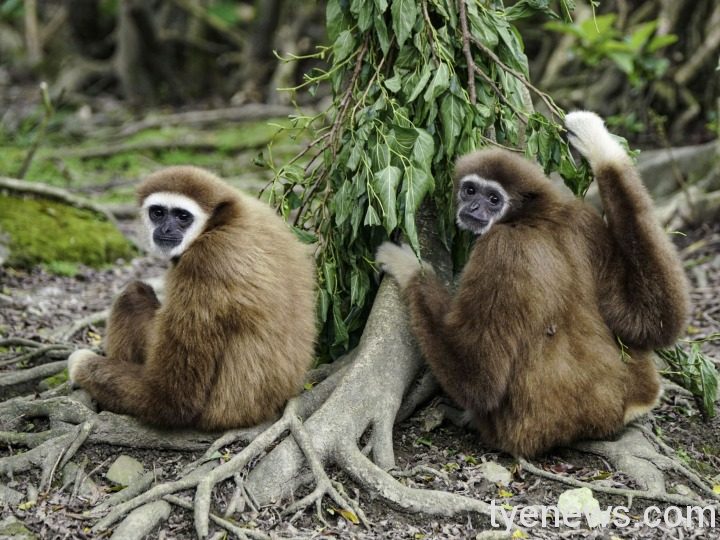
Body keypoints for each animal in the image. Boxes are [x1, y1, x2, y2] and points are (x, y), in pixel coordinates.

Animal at [67, 166, 317, 431]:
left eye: (182, 216)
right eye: (158, 213)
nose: (166, 229)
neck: (223, 222)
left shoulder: (206, 264)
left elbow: (172, 398)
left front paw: (79, 362)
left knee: (132, 295)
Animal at [376, 111, 690, 457]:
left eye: (493, 198)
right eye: (470, 190)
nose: (473, 208)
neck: (531, 217)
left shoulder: (500, 249)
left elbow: (479, 378)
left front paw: (407, 266)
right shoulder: (582, 218)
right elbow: (655, 322)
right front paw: (598, 145)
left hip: (523, 433)